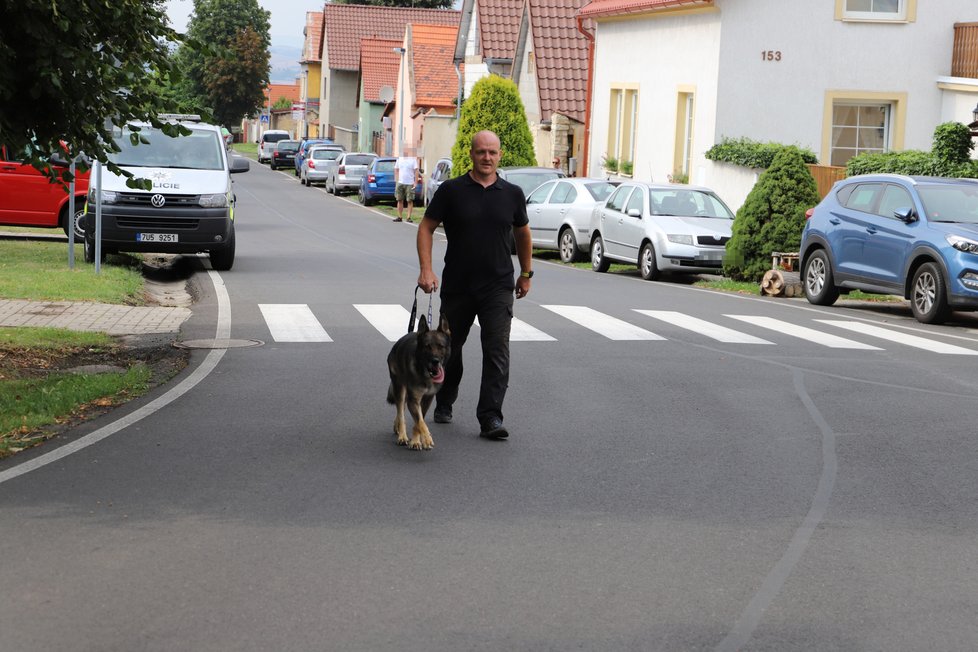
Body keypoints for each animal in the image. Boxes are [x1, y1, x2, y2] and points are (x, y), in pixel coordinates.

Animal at [386, 314, 452, 450]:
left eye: (441, 346)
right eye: (427, 346)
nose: (435, 361)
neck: (425, 374)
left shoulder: (427, 399)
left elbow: (419, 421)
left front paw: (416, 440)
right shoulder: (414, 400)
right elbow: (420, 421)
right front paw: (426, 439)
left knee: (401, 410)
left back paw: (397, 427)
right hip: (399, 387)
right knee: (401, 411)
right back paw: (402, 436)